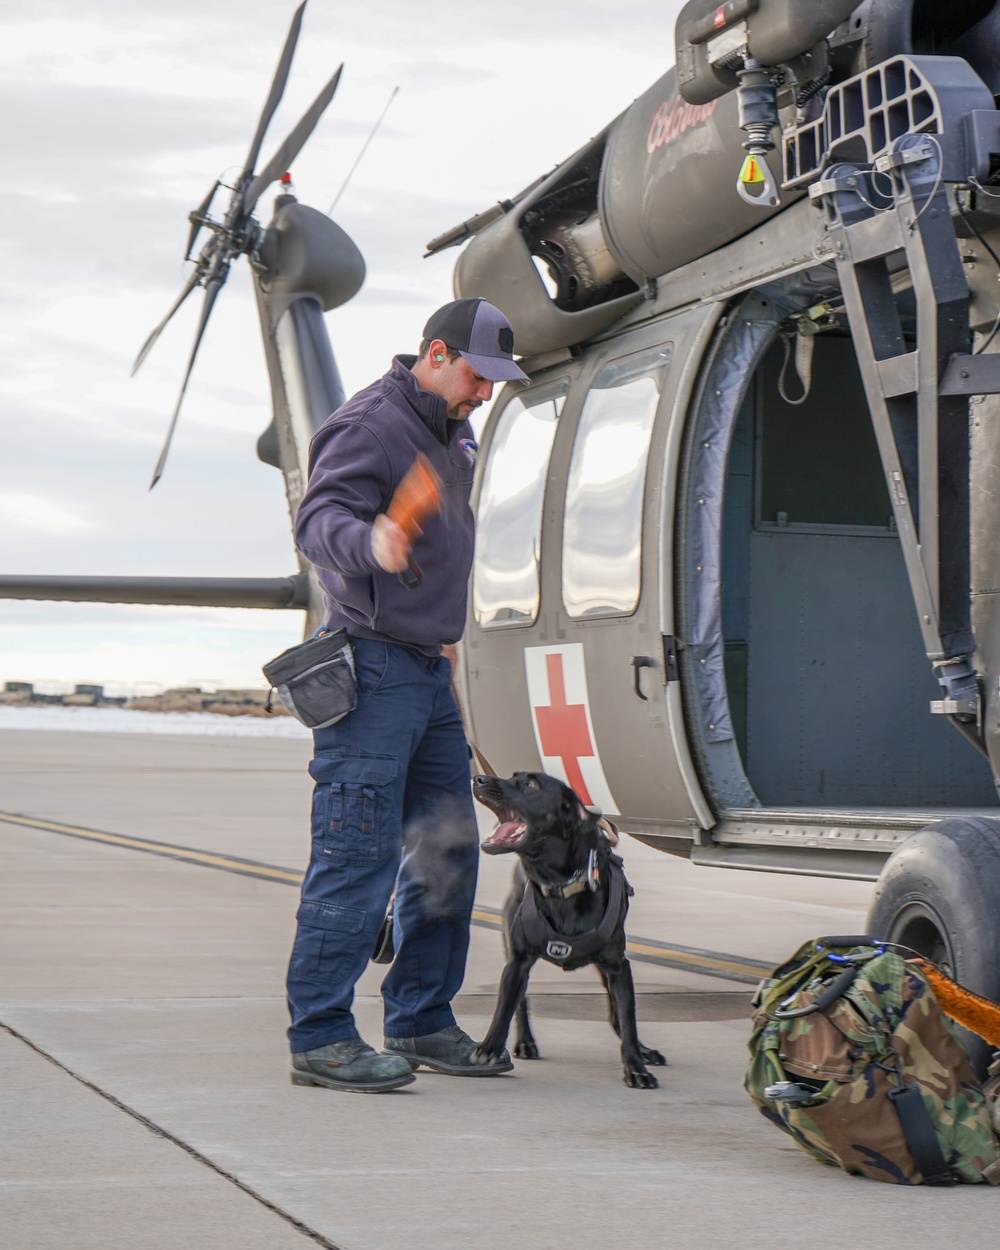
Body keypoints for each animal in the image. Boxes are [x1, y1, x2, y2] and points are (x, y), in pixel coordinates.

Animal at [472, 770, 670, 1085]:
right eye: (513, 776)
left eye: (531, 785)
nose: (478, 779)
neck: (560, 885)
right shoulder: (518, 961)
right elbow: (504, 1009)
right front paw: (489, 1048)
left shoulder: (618, 967)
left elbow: (628, 1020)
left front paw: (636, 1066)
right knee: (520, 1002)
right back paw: (525, 1042)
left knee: (618, 1016)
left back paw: (644, 1050)